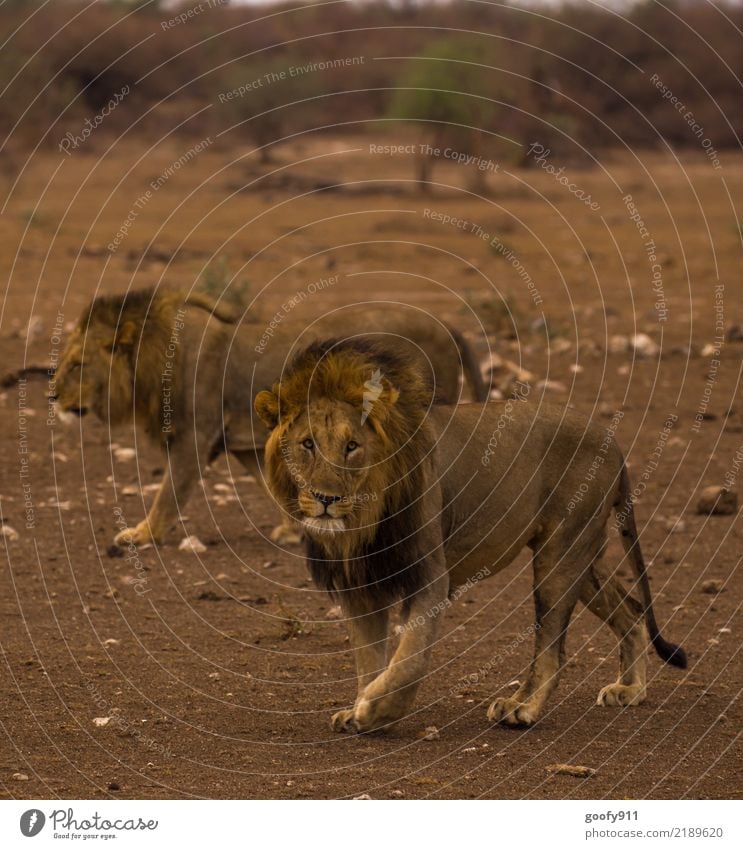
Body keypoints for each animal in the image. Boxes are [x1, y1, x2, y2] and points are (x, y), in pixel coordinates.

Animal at [53, 288, 488, 548]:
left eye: (77, 364)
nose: (51, 394)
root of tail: (447, 325)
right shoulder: (243, 440)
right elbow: (273, 484)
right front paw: (296, 528)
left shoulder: (195, 436)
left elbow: (168, 494)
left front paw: (142, 534)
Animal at [258, 338, 692, 728]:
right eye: (307, 444)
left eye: (352, 446)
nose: (325, 498)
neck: (361, 521)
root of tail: (611, 441)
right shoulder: (359, 586)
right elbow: (370, 659)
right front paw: (362, 709)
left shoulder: (429, 577)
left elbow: (409, 657)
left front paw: (379, 708)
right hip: (581, 554)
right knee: (631, 609)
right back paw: (630, 689)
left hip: (561, 553)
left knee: (552, 646)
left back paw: (522, 708)